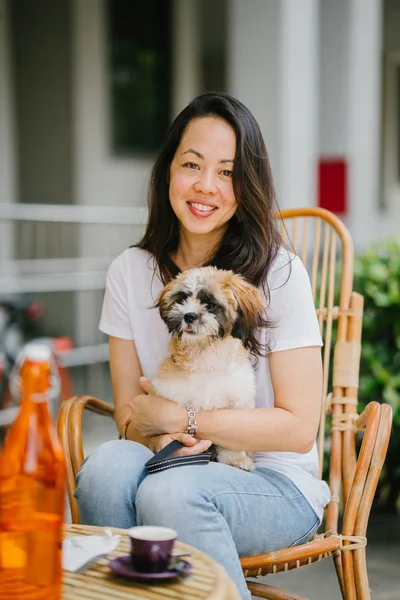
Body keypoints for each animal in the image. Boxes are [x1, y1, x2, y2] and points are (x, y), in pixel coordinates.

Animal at [153, 264, 266, 472]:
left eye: (211, 304)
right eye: (182, 299)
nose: (188, 315)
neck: (205, 355)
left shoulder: (237, 404)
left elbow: (233, 440)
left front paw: (235, 459)